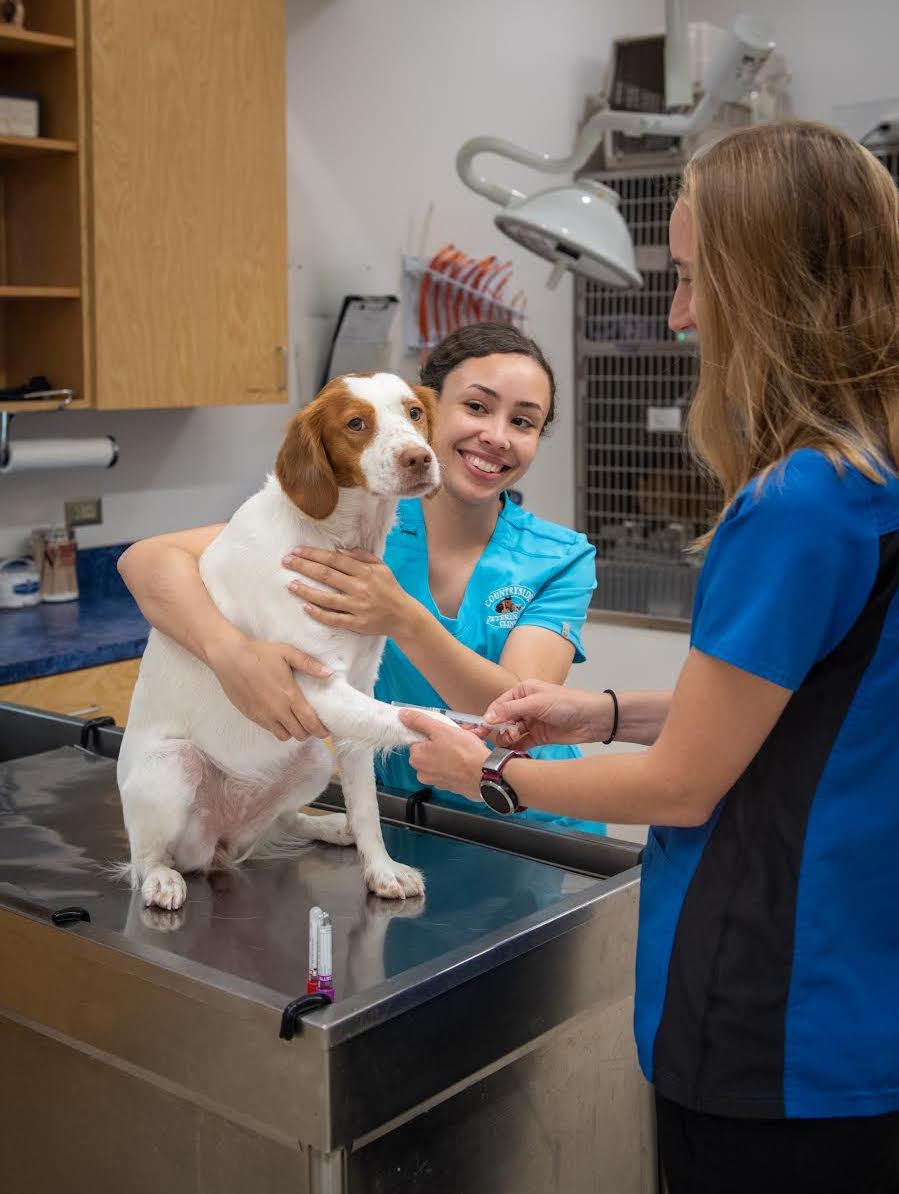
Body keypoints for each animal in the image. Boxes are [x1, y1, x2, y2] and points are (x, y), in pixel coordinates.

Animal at [116, 377, 446, 907]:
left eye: (414, 412)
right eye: (356, 423)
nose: (419, 458)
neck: (333, 537)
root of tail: (218, 844)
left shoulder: (357, 691)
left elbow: (368, 808)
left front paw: (380, 870)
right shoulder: (316, 687)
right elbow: (422, 722)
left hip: (311, 756)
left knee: (285, 820)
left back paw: (332, 827)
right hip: (175, 764)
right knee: (145, 859)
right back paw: (161, 879)